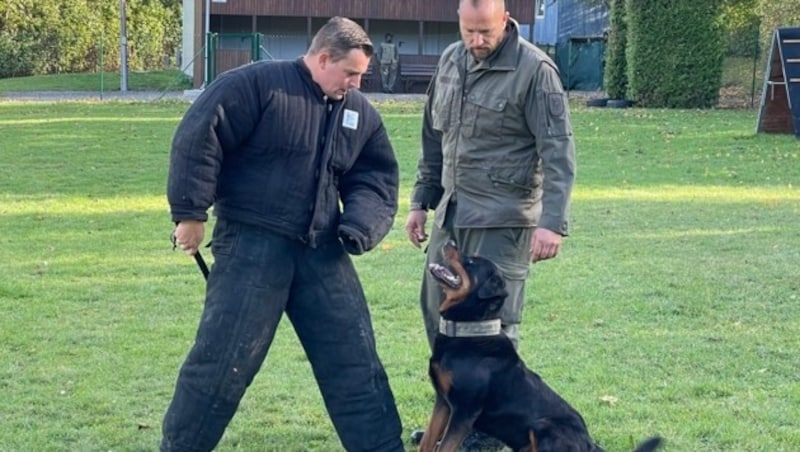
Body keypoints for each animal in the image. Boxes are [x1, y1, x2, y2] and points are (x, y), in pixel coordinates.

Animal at [416, 244, 660, 452]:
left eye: (470, 262)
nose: (449, 242)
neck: (469, 331)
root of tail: (590, 444)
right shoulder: (443, 402)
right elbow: (428, 441)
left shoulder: (464, 411)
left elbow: (444, 447)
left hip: (543, 426)